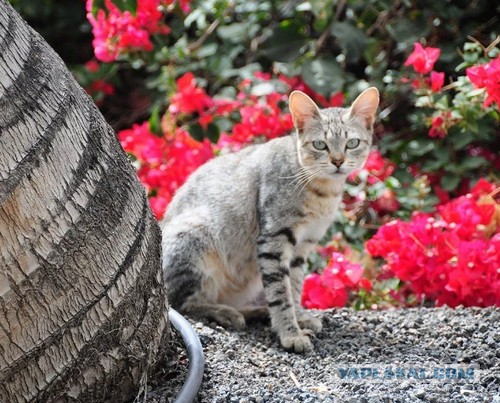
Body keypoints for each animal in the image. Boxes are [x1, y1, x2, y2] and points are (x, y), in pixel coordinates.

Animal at [161, 87, 378, 352]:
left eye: (352, 143)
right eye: (320, 145)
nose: (337, 161)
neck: (322, 191)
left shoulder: (303, 245)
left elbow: (294, 286)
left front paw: (298, 316)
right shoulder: (274, 239)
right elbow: (280, 293)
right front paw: (290, 333)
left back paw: (255, 311)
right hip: (196, 237)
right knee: (181, 303)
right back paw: (226, 313)